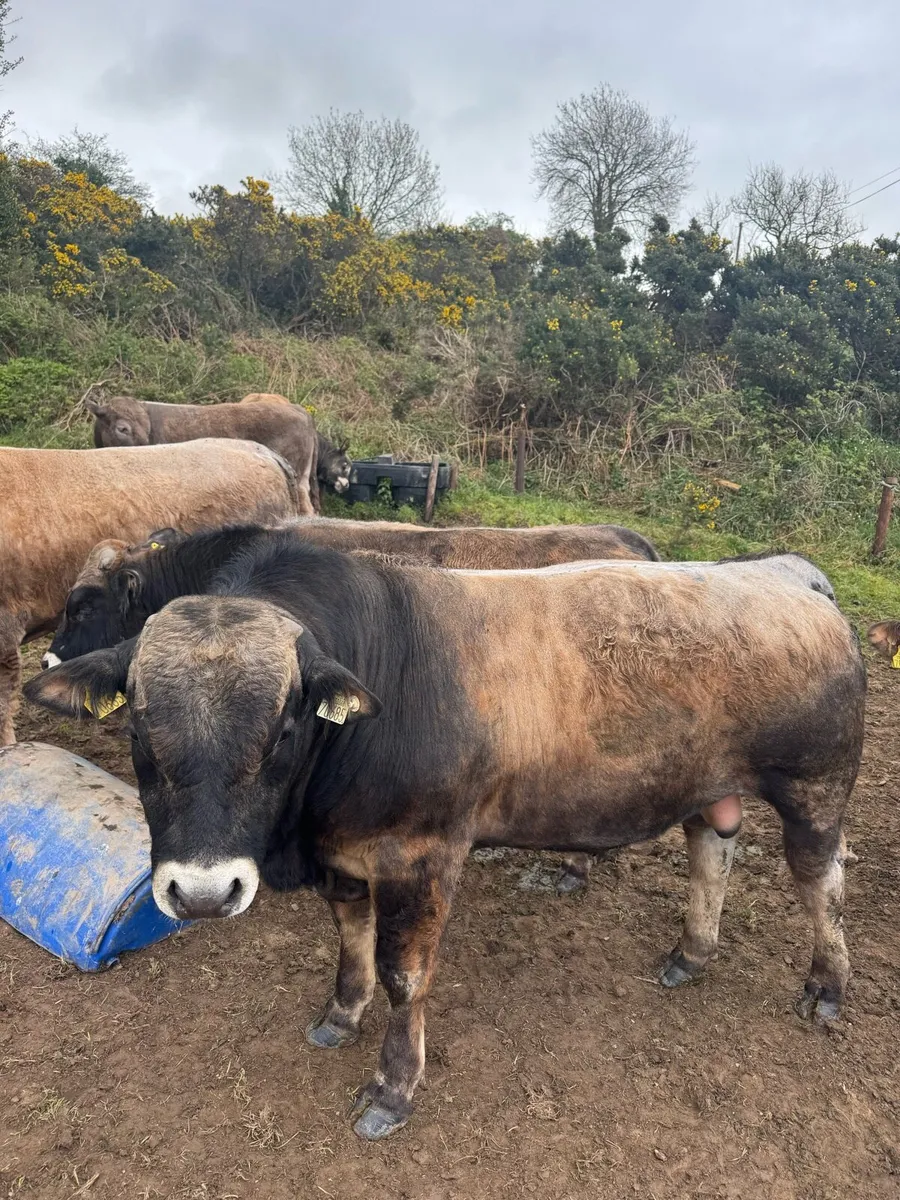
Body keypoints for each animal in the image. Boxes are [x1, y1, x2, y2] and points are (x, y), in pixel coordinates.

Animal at [25, 539, 866, 1141]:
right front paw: (342, 1012)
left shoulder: (422, 855)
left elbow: (406, 975)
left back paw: (827, 984)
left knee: (820, 880)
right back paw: (692, 951)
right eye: (138, 727)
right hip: (707, 786)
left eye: (285, 727)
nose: (202, 892)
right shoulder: (346, 855)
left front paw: (393, 1088)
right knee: (712, 850)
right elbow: (352, 937)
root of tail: (787, 574)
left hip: (815, 789)